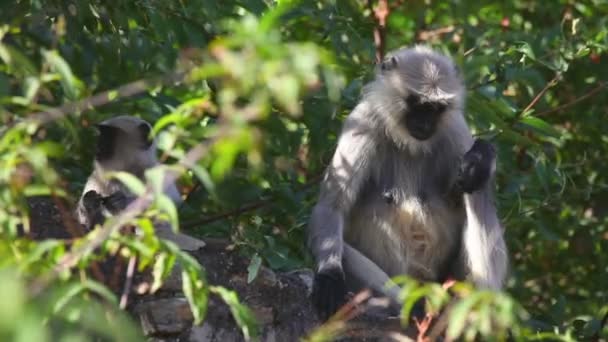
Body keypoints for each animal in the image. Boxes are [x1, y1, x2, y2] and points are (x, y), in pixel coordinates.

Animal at [75, 115, 204, 251]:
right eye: (102, 136)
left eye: (109, 136)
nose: (98, 148)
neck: (128, 172)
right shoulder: (97, 177)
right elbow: (87, 225)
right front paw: (90, 202)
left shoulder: (157, 172)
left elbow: (170, 203)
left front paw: (122, 202)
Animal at [308, 46, 508, 320]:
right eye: (416, 104)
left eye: (436, 108)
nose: (424, 124)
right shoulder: (363, 121)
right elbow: (333, 205)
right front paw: (329, 277)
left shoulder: (455, 128)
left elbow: (466, 185)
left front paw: (482, 155)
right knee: (347, 253)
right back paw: (409, 307)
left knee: (477, 189)